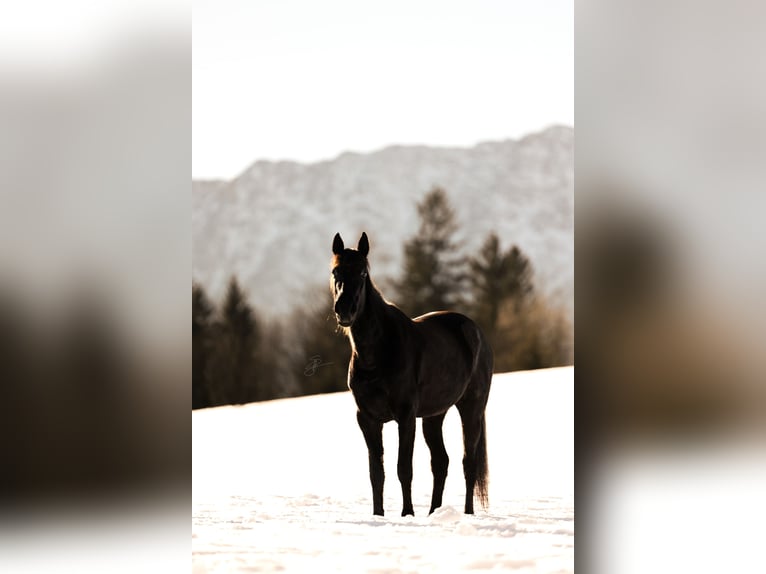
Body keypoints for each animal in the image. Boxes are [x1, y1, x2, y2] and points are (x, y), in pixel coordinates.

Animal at [330, 232, 493, 516]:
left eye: (362, 272)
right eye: (335, 271)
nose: (344, 310)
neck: (378, 354)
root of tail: (475, 330)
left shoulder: (406, 417)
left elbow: (403, 468)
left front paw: (407, 514)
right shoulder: (367, 419)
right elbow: (377, 472)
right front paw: (378, 515)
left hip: (471, 408)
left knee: (468, 462)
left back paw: (467, 513)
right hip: (434, 415)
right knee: (441, 462)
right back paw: (434, 512)